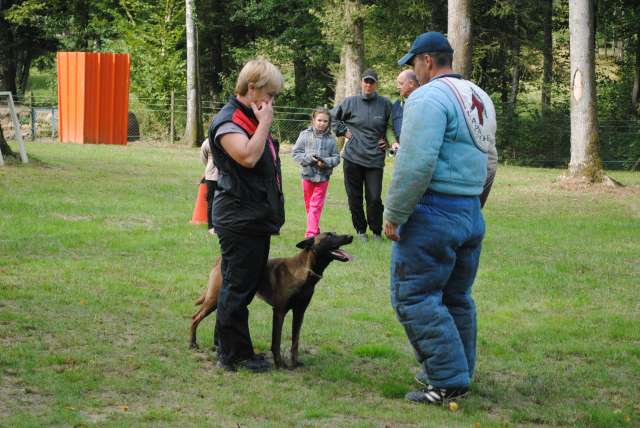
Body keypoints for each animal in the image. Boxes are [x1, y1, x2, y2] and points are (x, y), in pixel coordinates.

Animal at [190, 231, 352, 368]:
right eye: (329, 235)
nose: (350, 236)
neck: (305, 270)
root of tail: (221, 259)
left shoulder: (299, 312)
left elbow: (295, 341)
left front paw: (295, 363)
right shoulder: (279, 312)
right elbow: (276, 341)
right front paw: (279, 363)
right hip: (213, 299)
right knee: (195, 317)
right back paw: (192, 344)